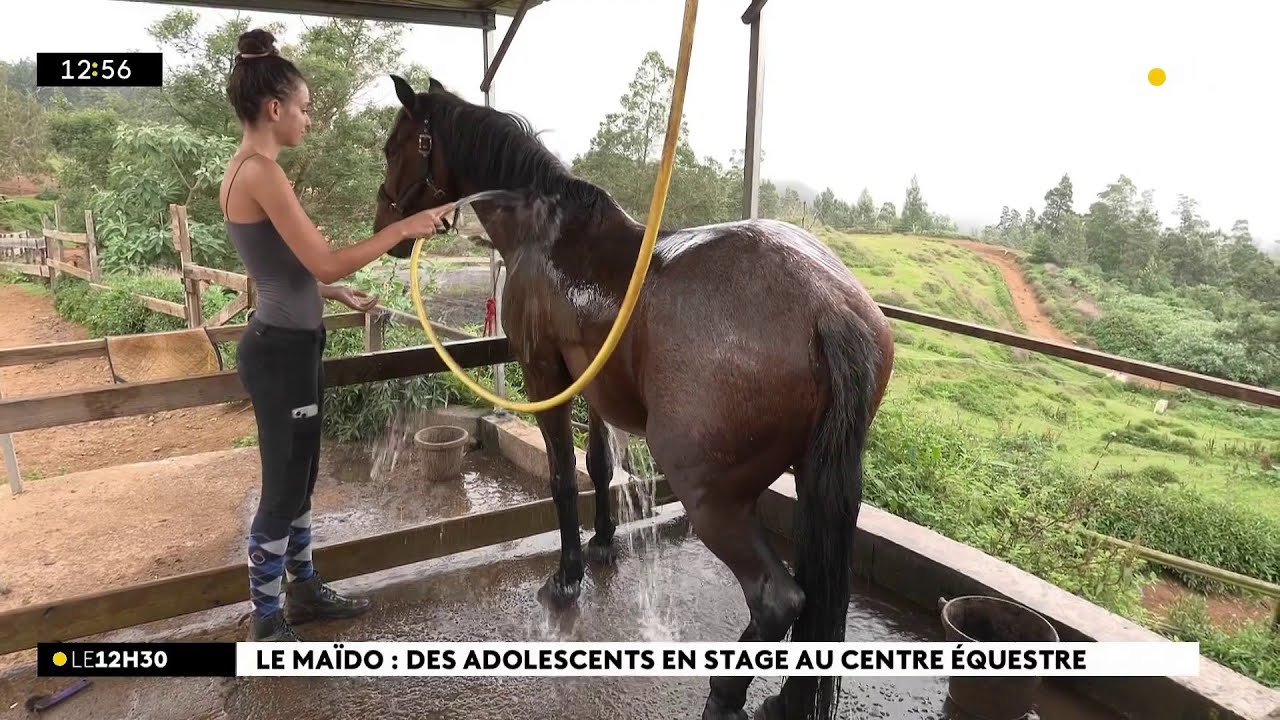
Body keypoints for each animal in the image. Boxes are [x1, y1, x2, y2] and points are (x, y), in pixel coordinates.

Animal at [372, 74, 895, 720]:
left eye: (395, 147)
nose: (384, 226)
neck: (545, 230)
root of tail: (829, 309)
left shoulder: (543, 374)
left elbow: (563, 477)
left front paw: (567, 577)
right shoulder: (589, 380)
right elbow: (599, 466)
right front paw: (602, 544)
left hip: (711, 496)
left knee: (779, 599)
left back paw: (725, 695)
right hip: (817, 476)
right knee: (818, 593)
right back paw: (784, 701)